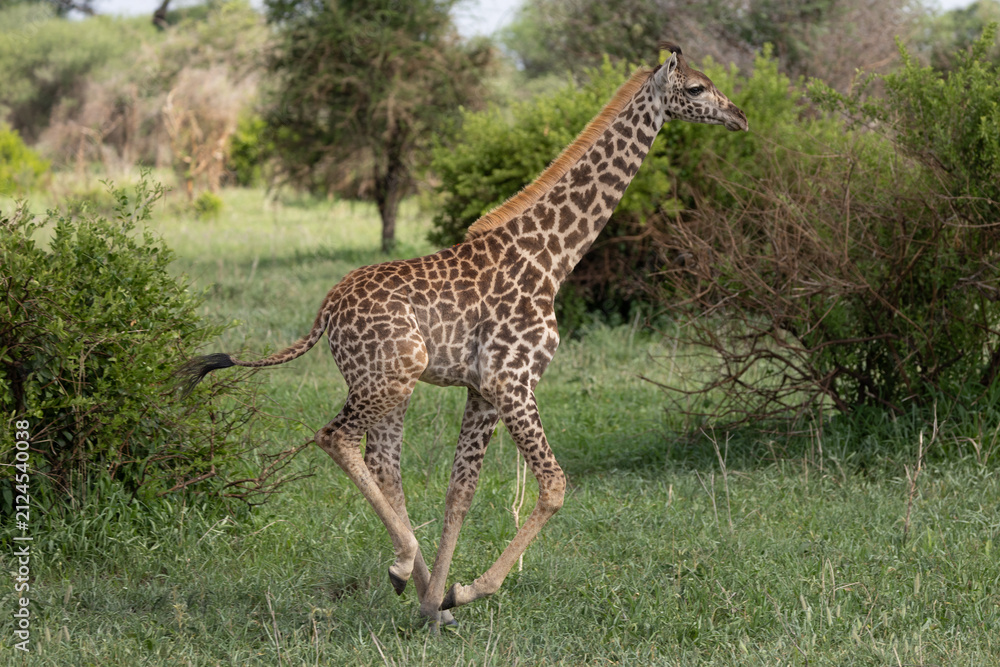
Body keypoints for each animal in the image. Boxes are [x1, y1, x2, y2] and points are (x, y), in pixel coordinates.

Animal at [178, 42, 748, 628]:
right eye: (697, 88)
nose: (740, 116)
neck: (551, 259)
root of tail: (325, 311)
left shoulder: (483, 389)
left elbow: (461, 491)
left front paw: (439, 602)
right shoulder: (511, 380)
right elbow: (554, 486)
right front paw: (467, 590)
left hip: (389, 382)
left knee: (385, 464)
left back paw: (417, 583)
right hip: (394, 372)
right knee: (335, 437)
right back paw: (403, 563)